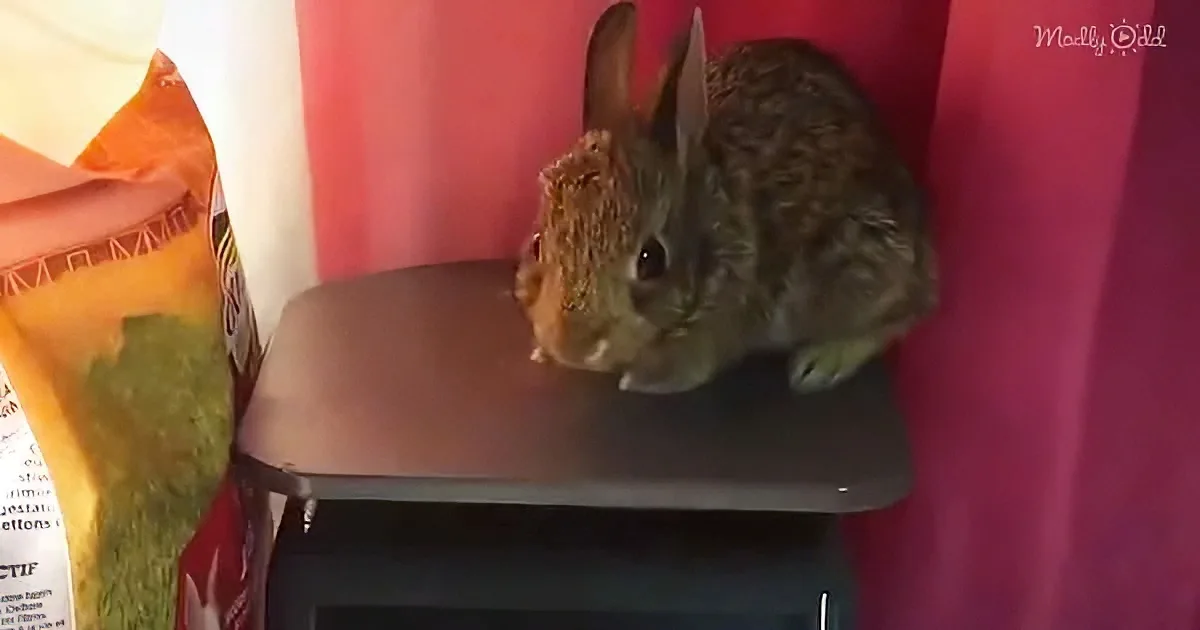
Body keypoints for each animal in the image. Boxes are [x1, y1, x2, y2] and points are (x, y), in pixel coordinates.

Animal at [513, 1, 937, 395]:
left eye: (651, 260)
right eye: (536, 245)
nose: (573, 344)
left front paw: (638, 379)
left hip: (861, 264)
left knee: (909, 311)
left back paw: (821, 362)